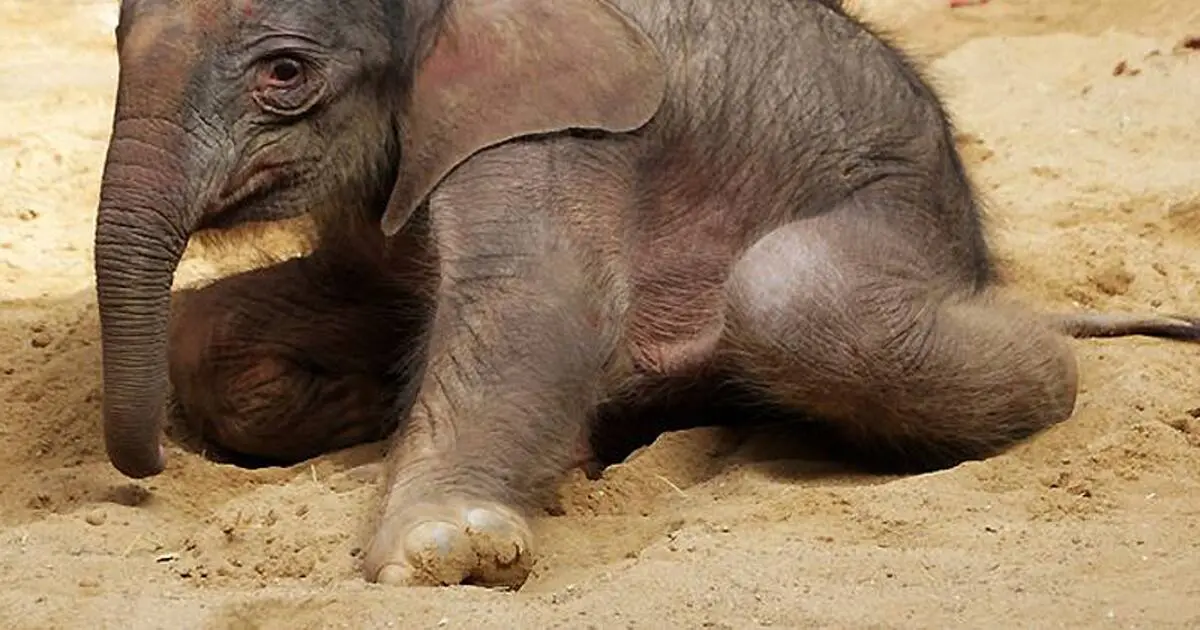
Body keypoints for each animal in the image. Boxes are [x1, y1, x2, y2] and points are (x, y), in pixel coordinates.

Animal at [95, 0, 1200, 588]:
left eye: (285, 72)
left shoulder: (561, 122)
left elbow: (545, 306)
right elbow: (233, 332)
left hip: (901, 220)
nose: (142, 480)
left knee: (793, 296)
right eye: (112, 35)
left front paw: (444, 554)